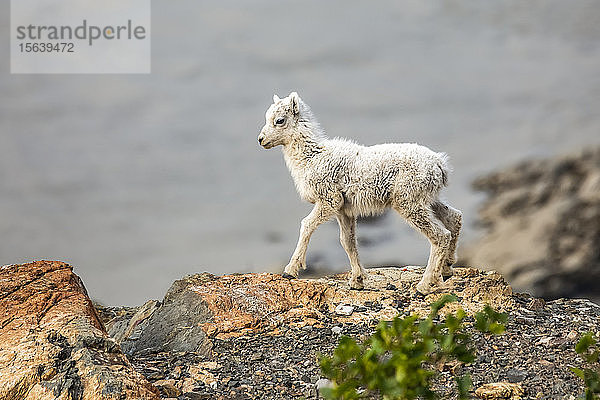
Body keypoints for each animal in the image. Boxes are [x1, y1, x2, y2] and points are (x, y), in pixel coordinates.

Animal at [258, 93, 464, 294]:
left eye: (279, 120)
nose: (260, 140)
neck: (312, 157)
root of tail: (440, 165)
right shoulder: (344, 210)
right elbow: (347, 241)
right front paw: (357, 281)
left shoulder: (329, 201)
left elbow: (306, 225)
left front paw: (290, 271)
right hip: (428, 199)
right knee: (454, 217)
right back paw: (447, 269)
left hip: (408, 202)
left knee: (440, 235)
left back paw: (425, 285)